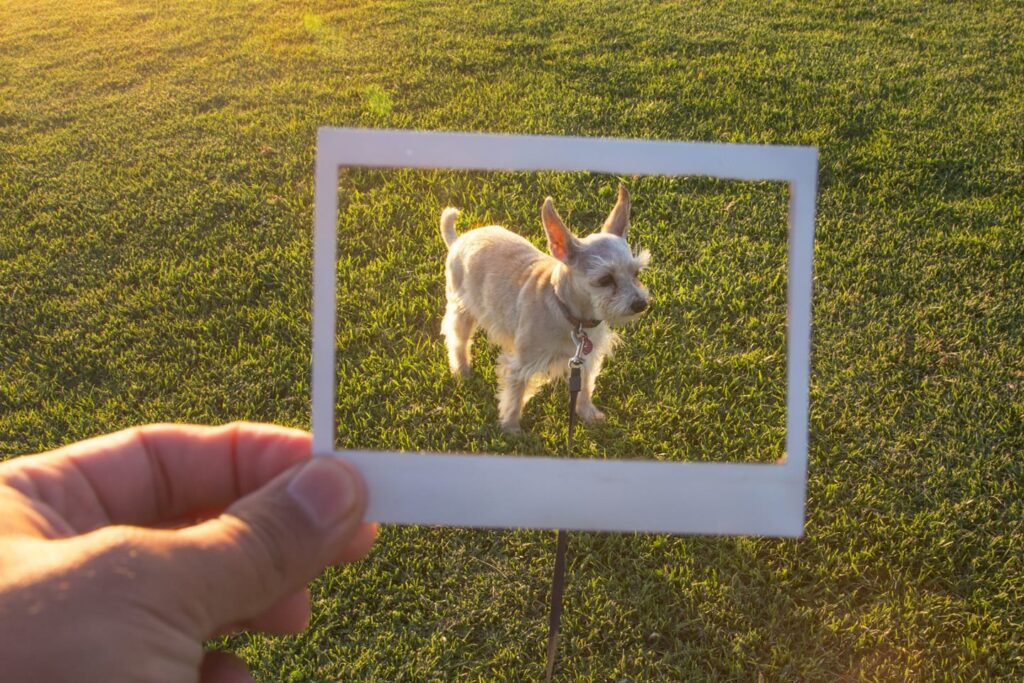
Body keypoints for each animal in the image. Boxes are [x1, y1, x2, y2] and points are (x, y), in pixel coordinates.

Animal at [438, 183, 647, 432]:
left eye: (636, 273)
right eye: (605, 279)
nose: (641, 304)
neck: (572, 316)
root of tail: (459, 239)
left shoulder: (586, 358)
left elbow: (585, 386)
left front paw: (587, 413)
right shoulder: (521, 364)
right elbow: (515, 395)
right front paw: (511, 429)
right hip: (461, 308)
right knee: (458, 341)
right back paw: (462, 370)